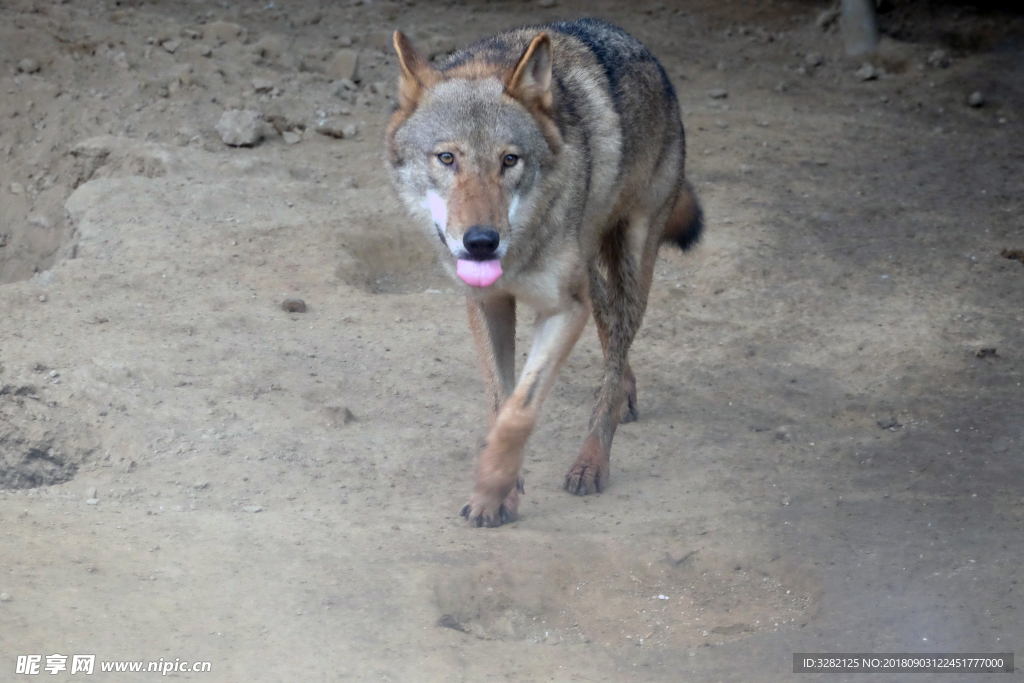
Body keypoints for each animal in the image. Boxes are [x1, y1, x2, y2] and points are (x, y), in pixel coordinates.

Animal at [385, 17, 704, 528]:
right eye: (447, 158)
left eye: (509, 160)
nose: (480, 241)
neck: (519, 250)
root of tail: (646, 54)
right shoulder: (487, 302)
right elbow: (501, 401)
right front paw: (501, 493)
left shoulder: (563, 310)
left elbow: (521, 409)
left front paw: (493, 484)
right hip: (592, 271)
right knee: (610, 332)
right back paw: (624, 393)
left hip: (633, 267)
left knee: (617, 347)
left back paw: (592, 460)